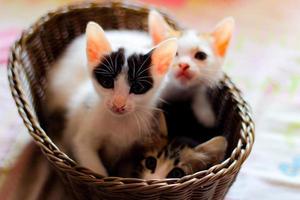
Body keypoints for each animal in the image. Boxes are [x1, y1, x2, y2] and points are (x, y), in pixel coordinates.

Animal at [46, 21, 178, 176]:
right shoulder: (84, 136)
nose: (118, 104)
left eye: (137, 88)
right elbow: (92, 163)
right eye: (107, 82)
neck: (120, 123)